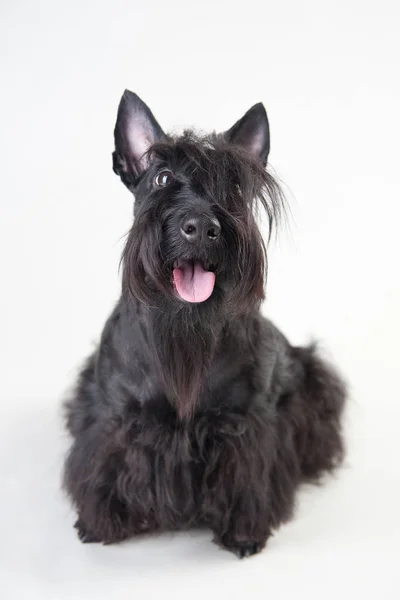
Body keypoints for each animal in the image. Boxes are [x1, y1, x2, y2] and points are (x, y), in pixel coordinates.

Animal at [63, 91, 346, 560]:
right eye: (161, 178)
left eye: (234, 185)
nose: (200, 228)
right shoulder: (115, 418)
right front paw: (100, 521)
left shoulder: (245, 423)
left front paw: (244, 532)